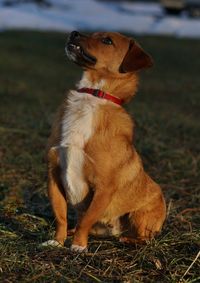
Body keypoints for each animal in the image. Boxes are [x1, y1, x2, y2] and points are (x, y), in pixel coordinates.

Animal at [45, 30, 166, 253]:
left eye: (107, 40)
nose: (74, 32)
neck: (92, 95)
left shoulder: (103, 188)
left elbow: (85, 220)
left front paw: (79, 247)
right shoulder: (53, 175)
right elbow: (61, 216)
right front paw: (57, 241)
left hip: (140, 216)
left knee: (146, 239)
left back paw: (127, 240)